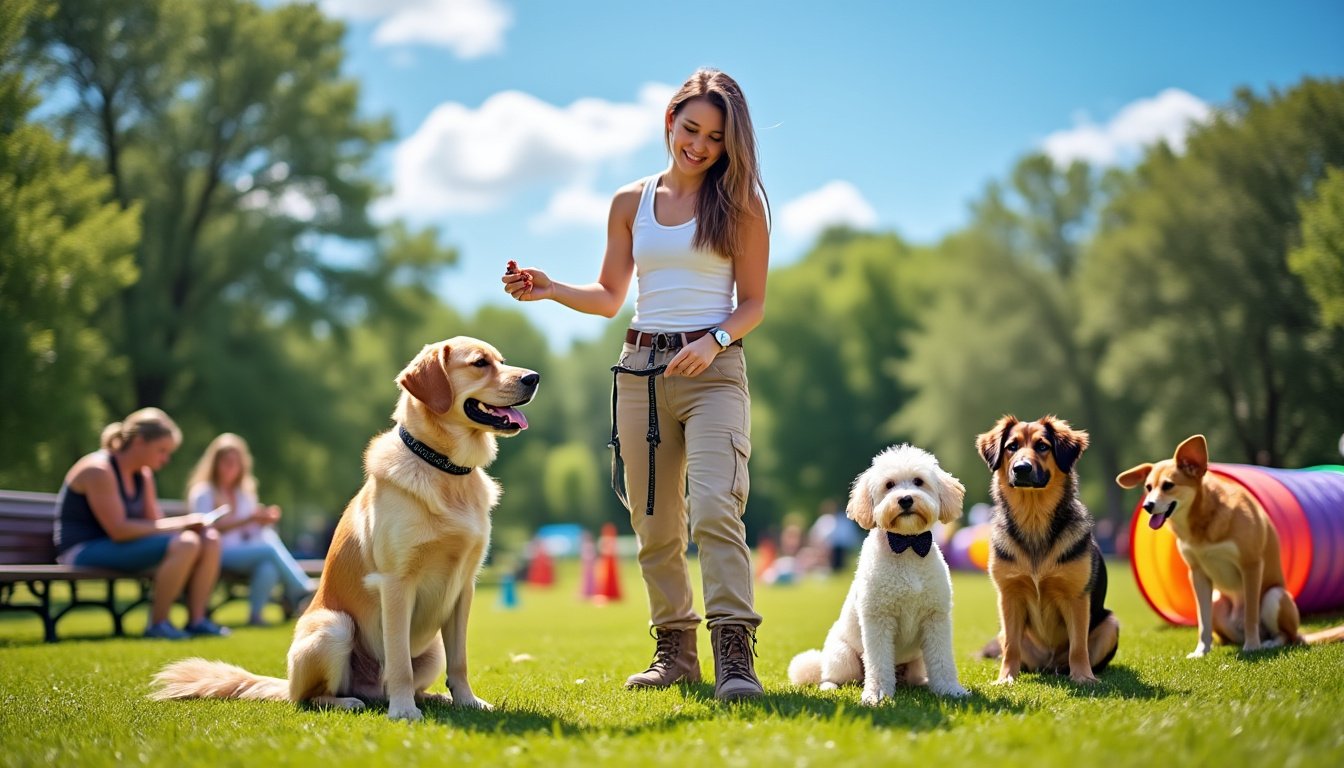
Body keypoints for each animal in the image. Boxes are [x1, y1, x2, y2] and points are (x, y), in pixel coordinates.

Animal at [149, 336, 537, 720]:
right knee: (311, 698)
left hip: (431, 649)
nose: (533, 378)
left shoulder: (463, 587)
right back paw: (353, 702)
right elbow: (399, 661)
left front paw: (467, 701)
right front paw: (403, 711)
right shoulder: (396, 583)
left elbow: (460, 661)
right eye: (479, 363)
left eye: (502, 361)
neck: (445, 469)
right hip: (334, 626)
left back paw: (432, 697)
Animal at [1112, 435, 1344, 659]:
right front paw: (1201, 651)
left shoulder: (1251, 565)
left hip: (1274, 596)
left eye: (1168, 485)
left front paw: (1252, 647)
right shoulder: (1197, 573)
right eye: (1148, 487)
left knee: (1286, 636)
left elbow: (1251, 614)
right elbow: (1202, 621)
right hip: (1217, 601)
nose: (1147, 506)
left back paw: (1266, 643)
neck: (1201, 521)